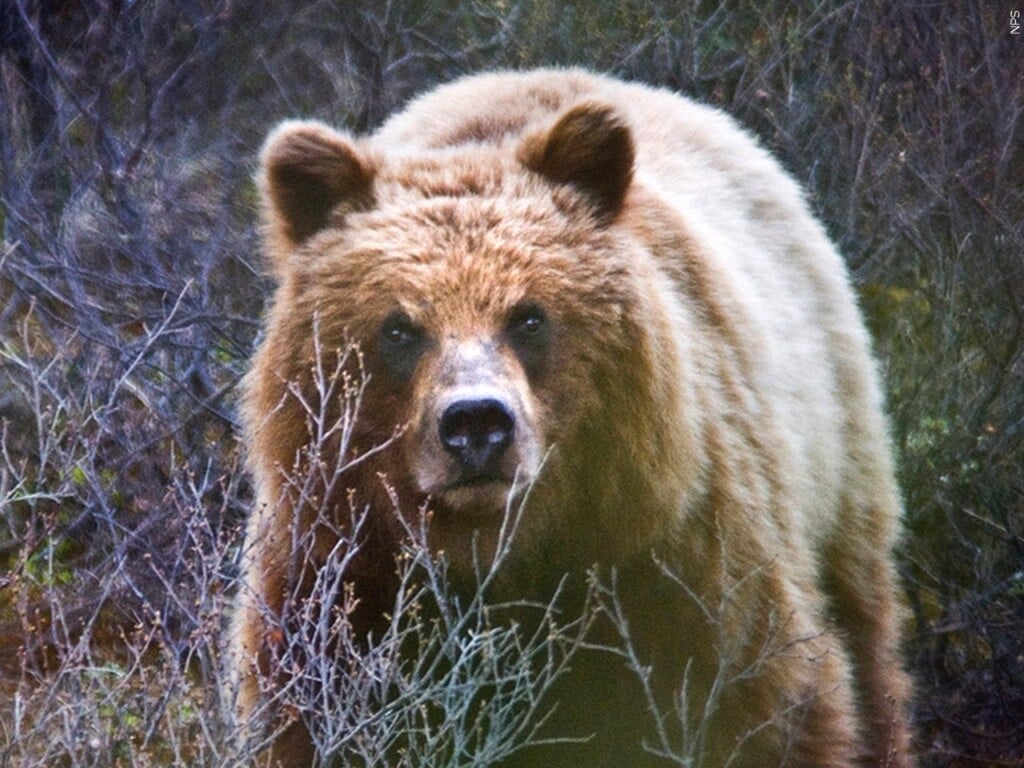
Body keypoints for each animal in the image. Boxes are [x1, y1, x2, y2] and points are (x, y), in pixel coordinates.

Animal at [226, 68, 913, 768]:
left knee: (864, 627)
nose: (477, 423)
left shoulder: (682, 557)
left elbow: (768, 701)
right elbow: (309, 718)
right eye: (398, 327)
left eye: (528, 316)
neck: (503, 553)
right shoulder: (338, 572)